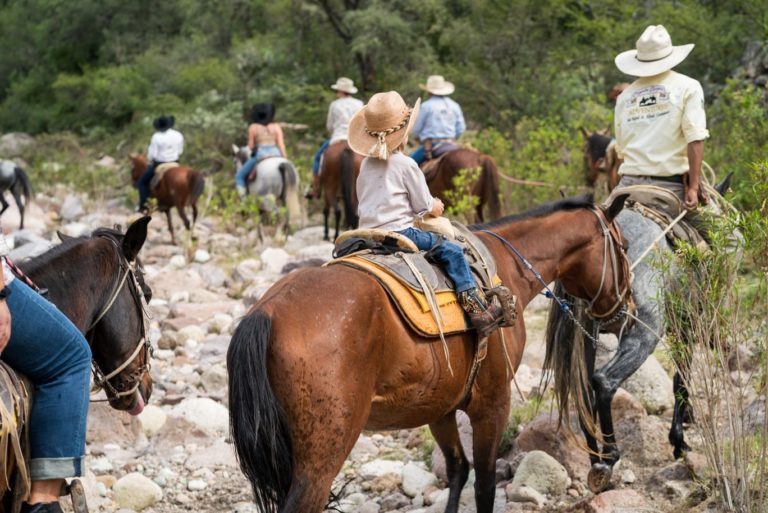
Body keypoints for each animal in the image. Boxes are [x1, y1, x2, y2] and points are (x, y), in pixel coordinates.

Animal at [226, 193, 632, 512]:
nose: (624, 307)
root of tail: (266, 312)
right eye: (624, 247)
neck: (505, 269)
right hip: (321, 456)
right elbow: (484, 486)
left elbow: (457, 470)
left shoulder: (441, 406)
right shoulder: (493, 404)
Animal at [544, 176, 736, 492]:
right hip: (646, 330)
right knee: (604, 381)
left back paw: (596, 461)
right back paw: (609, 458)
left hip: (584, 335)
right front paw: (679, 440)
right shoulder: (686, 324)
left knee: (583, 392)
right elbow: (681, 379)